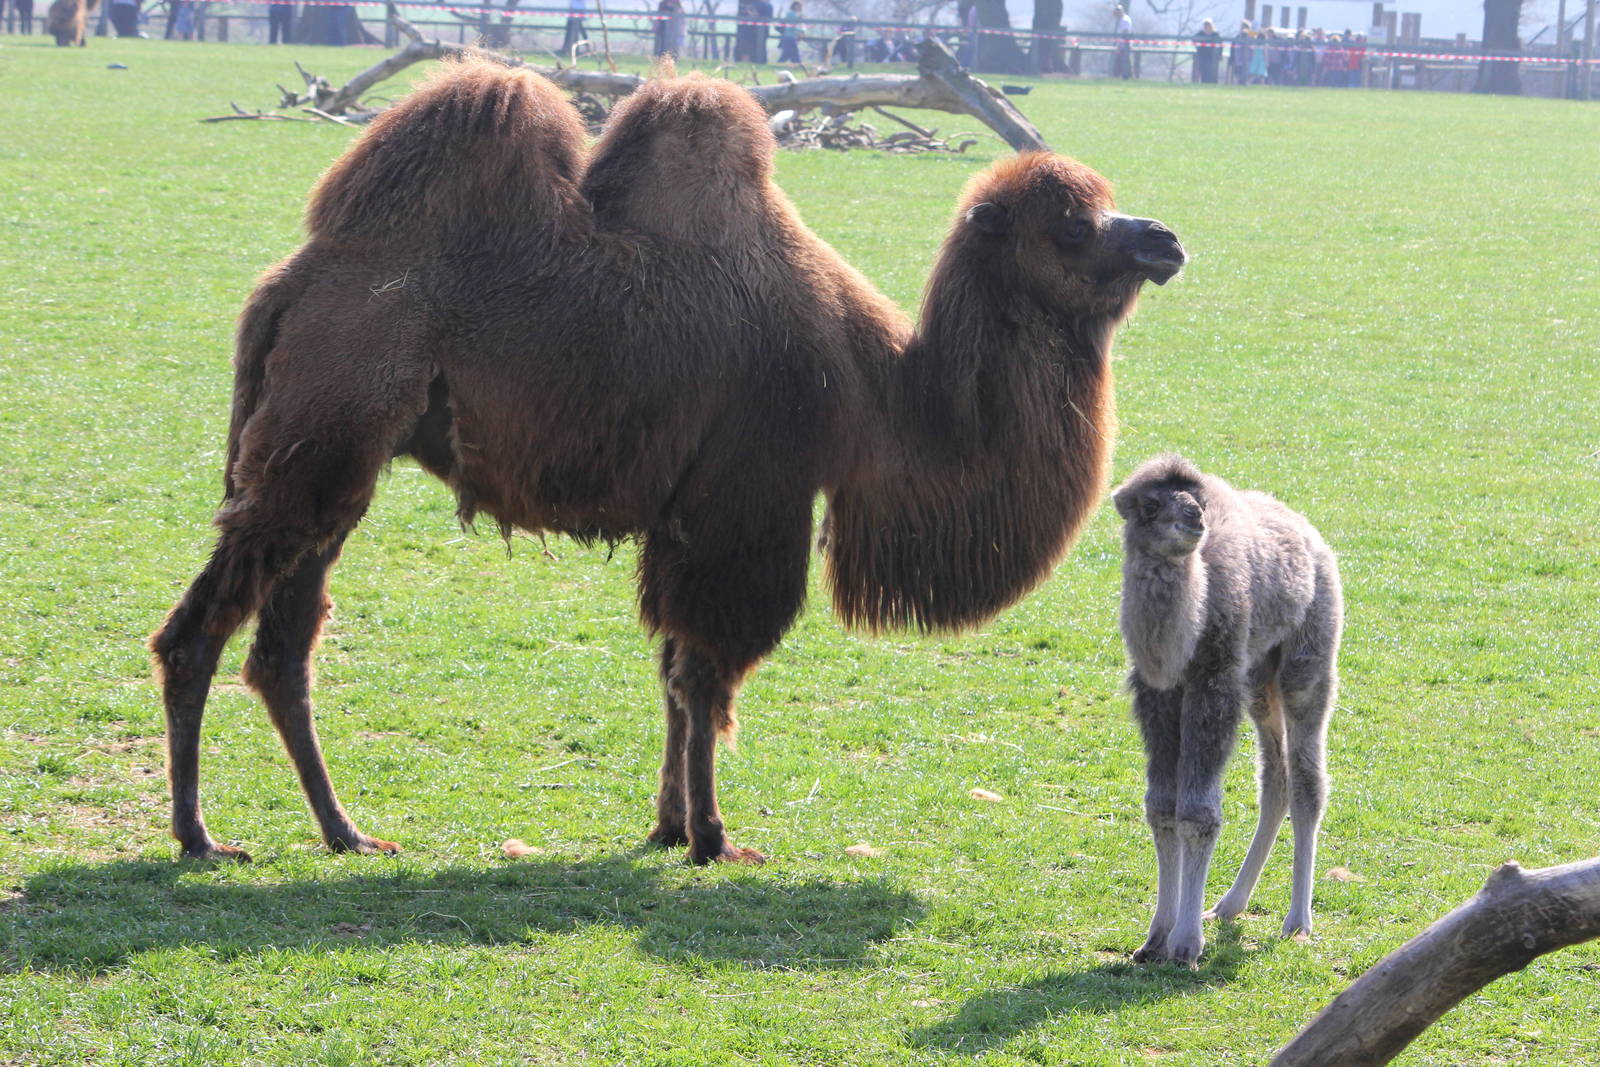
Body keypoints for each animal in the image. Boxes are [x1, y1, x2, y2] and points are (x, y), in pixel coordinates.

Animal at [150, 61, 1186, 865]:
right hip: (321, 439)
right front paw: (715, 836)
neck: (873, 386)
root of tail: (287, 287)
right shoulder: (749, 504)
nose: (1164, 238)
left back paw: (345, 831)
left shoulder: (694, 515)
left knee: (282, 649)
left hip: (333, 464)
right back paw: (201, 836)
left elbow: (674, 671)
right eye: (1070, 222)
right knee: (199, 631)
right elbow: (708, 672)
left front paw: (667, 823)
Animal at [1112, 454, 1342, 966]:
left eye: (1197, 499)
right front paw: (1154, 938)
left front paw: (1184, 944)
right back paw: (1230, 904)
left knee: (1307, 781)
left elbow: (1198, 813)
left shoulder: (1212, 682)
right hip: (1256, 677)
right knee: (1275, 777)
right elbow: (1161, 807)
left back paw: (1297, 922)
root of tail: (1310, 533)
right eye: (1149, 504)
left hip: (1306, 659)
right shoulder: (1156, 693)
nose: (1194, 519)